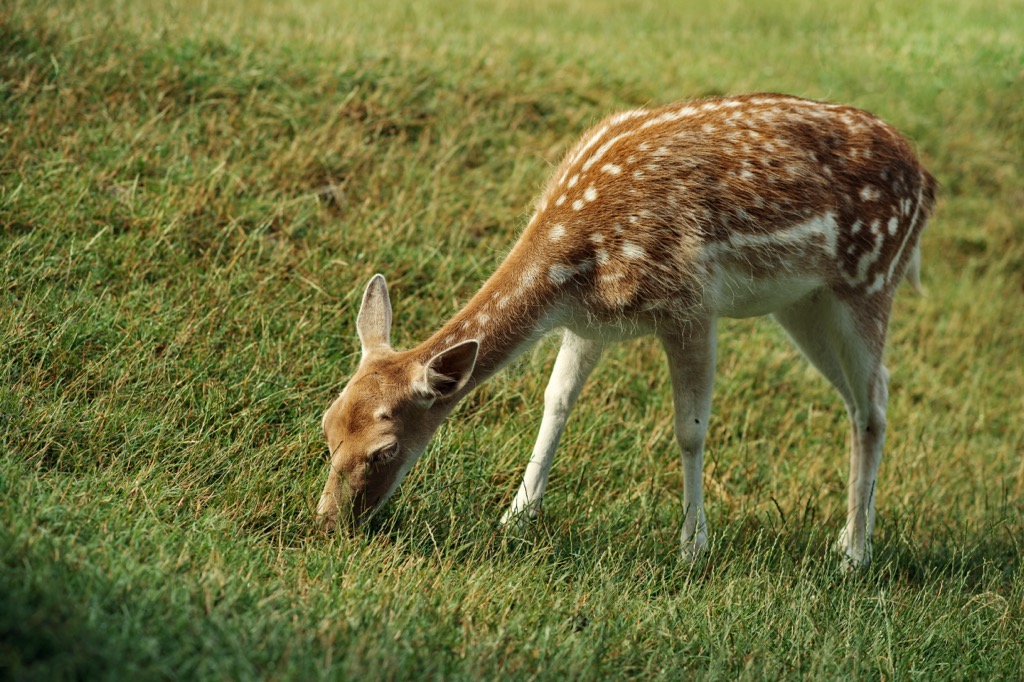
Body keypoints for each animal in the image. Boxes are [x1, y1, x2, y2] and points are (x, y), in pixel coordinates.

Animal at [316, 93, 937, 569]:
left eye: (383, 451)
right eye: (327, 425)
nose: (328, 524)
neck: (573, 262)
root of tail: (929, 183)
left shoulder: (690, 306)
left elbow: (690, 431)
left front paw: (693, 548)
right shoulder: (592, 321)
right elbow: (557, 400)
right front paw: (516, 517)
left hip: (869, 281)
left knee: (876, 401)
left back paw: (855, 554)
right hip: (804, 303)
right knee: (861, 398)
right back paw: (847, 535)